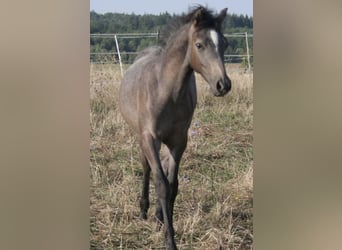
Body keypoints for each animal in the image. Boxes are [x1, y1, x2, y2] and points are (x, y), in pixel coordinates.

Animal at [119, 6, 231, 250]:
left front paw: (165, 223)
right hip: (141, 137)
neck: (165, 90)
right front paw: (170, 241)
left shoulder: (179, 140)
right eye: (199, 45)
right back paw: (143, 209)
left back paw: (158, 215)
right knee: (147, 168)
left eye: (225, 43)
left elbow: (173, 184)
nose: (223, 85)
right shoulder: (149, 138)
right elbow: (161, 184)